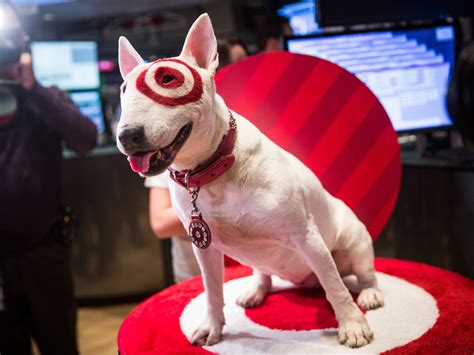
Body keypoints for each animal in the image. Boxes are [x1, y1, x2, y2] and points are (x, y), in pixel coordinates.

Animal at [116, 13, 384, 348]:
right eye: (124, 89)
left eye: (167, 79)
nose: (127, 136)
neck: (211, 169)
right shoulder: (205, 249)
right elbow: (212, 290)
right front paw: (212, 327)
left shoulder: (306, 236)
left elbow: (335, 285)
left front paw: (352, 326)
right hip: (262, 259)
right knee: (266, 274)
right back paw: (256, 291)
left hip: (353, 244)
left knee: (359, 274)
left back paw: (370, 293)